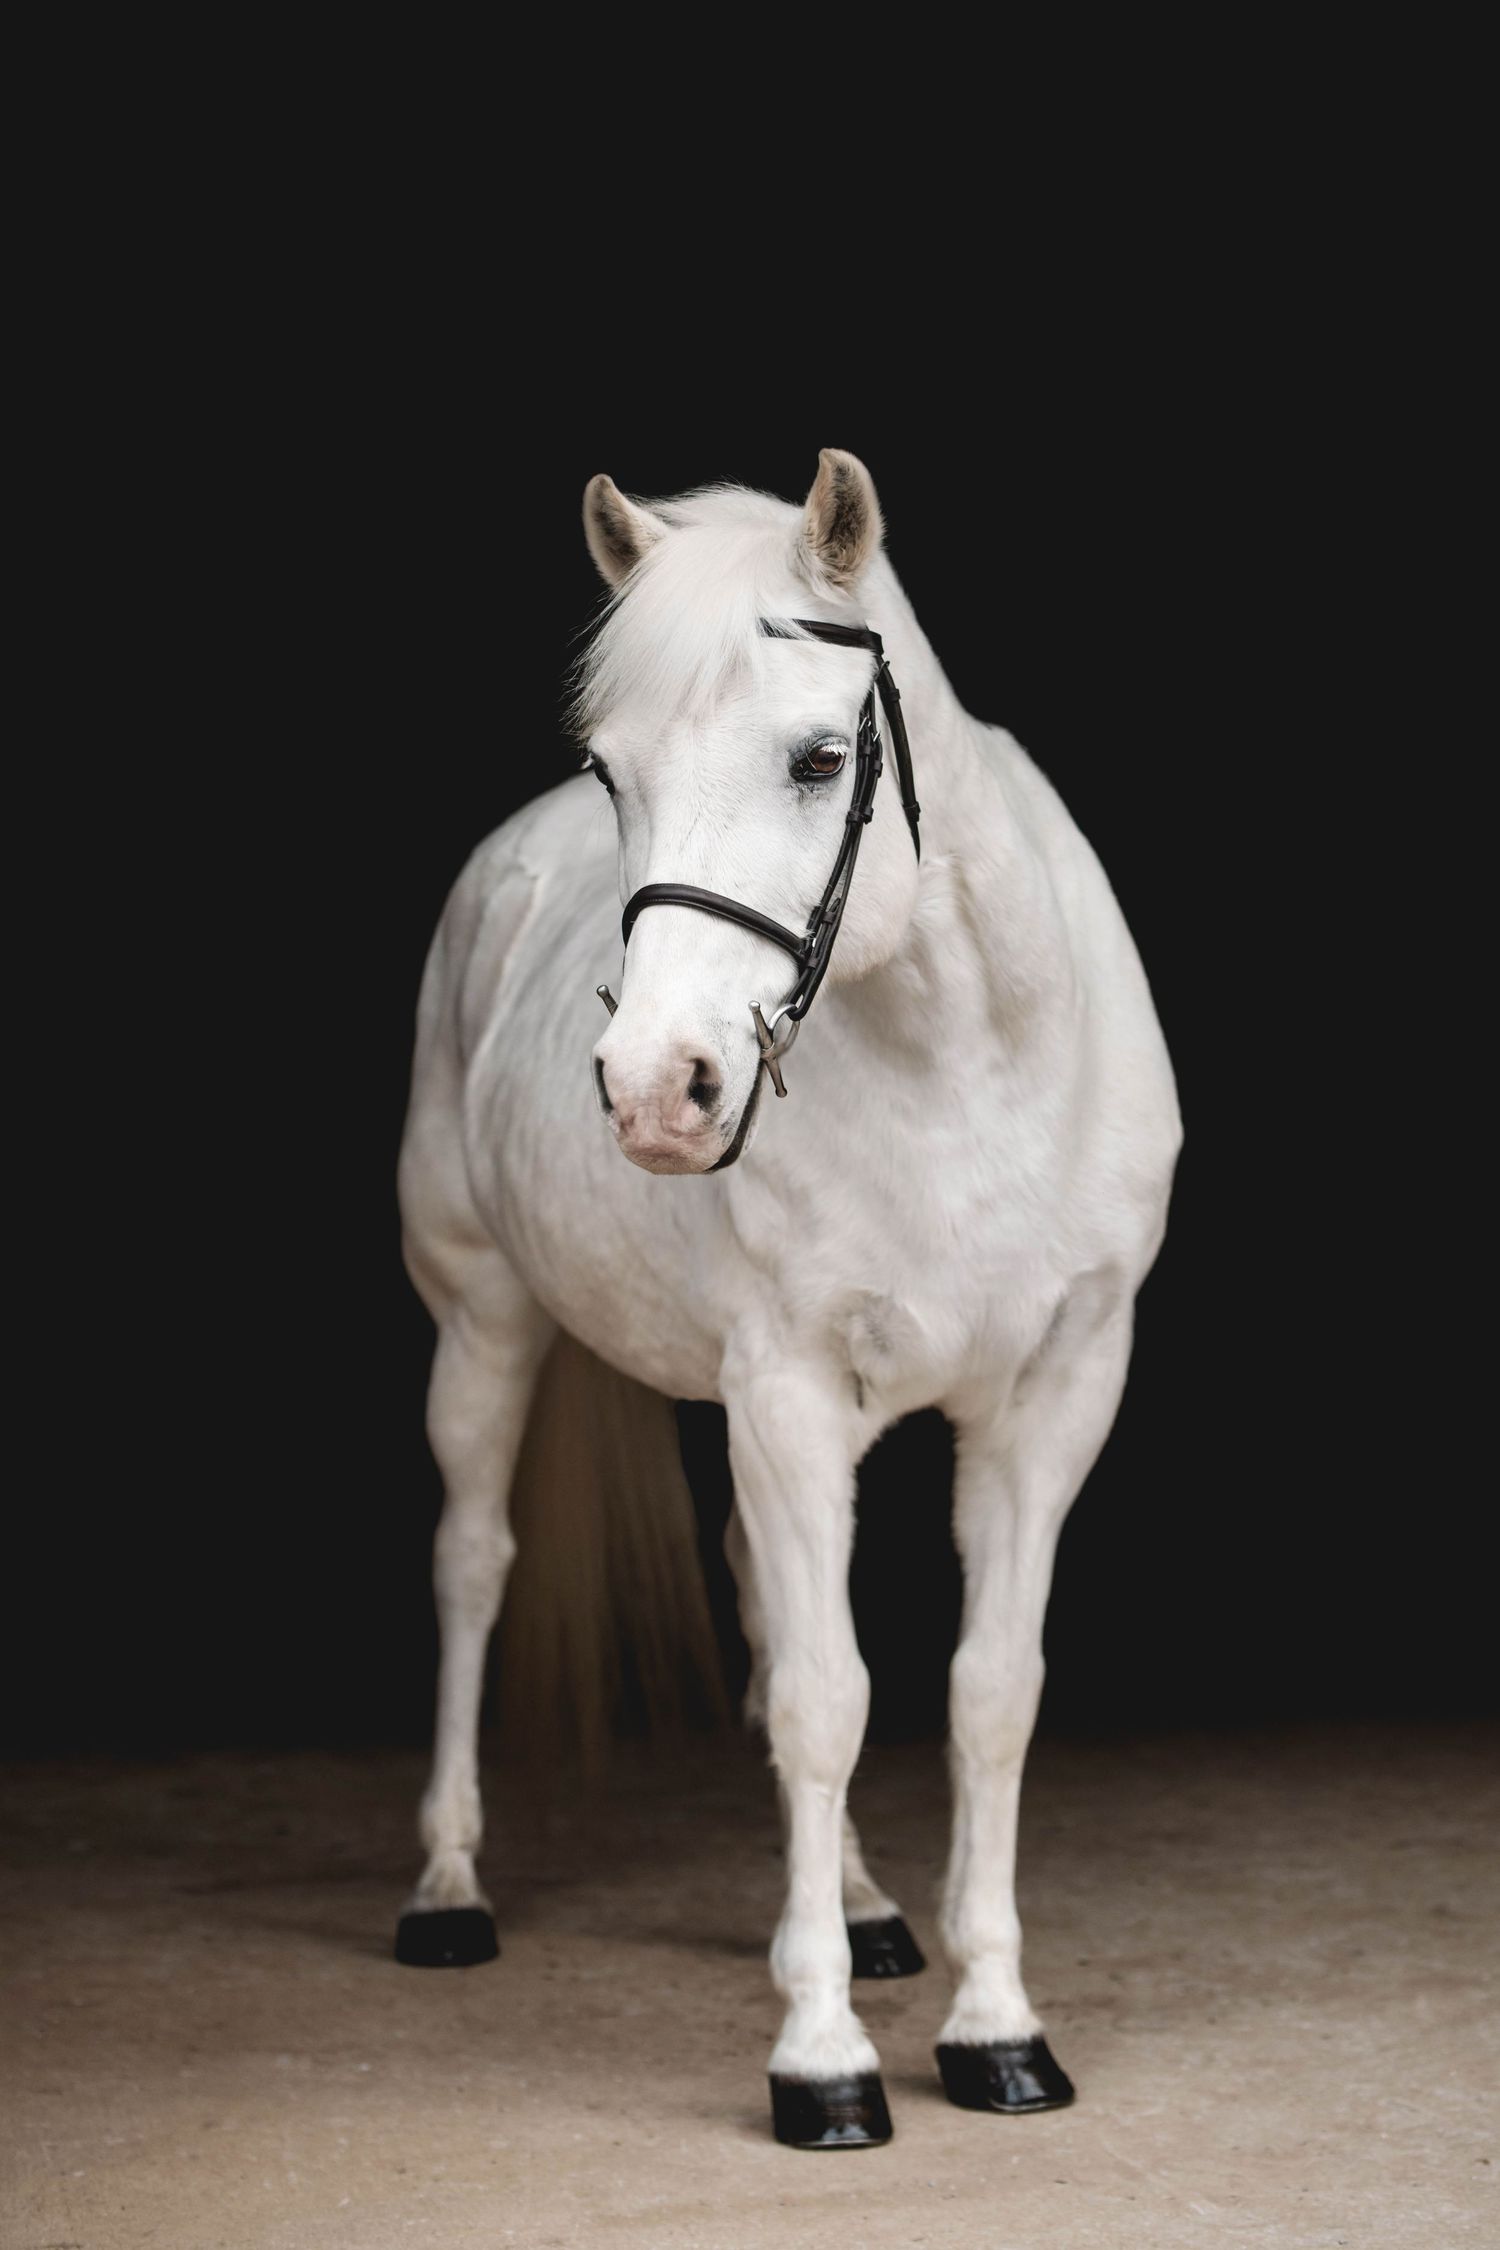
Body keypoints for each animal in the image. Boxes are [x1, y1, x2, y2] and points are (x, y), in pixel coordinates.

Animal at [393, 450, 1181, 2149]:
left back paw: (876, 1909)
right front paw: (821, 2059)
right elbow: (828, 1698)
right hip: (484, 1326)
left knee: (761, 1579)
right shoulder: (789, 1393)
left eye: (824, 759)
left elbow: (986, 1695)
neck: (968, 1064)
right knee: (473, 1565)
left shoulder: (1054, 1396)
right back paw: (446, 1885)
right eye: (613, 770)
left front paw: (997, 2027)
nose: (653, 1088)